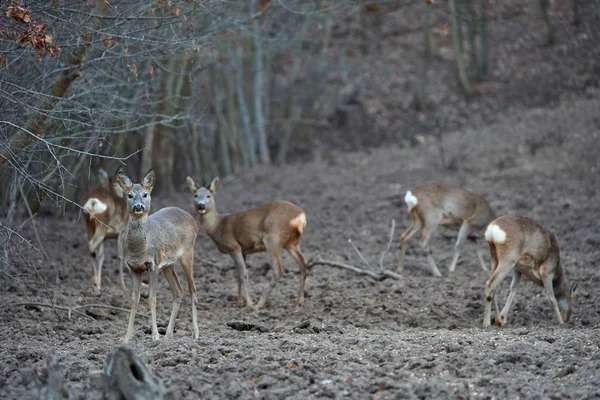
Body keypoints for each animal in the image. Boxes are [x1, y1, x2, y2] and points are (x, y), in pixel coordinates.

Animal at [116, 169, 199, 344]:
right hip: (167, 264)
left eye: (145, 194)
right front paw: (126, 338)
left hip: (188, 253)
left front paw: (155, 335)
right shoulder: (133, 268)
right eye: (129, 195)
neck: (139, 250)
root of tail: (194, 220)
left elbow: (152, 299)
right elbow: (134, 300)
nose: (138, 206)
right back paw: (168, 334)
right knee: (178, 291)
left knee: (192, 288)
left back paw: (195, 333)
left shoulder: (152, 265)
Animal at [186, 176, 310, 310]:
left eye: (208, 195)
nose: (201, 205)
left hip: (273, 238)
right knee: (303, 263)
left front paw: (249, 303)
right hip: (291, 242)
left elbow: (243, 274)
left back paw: (259, 304)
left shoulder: (233, 246)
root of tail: (302, 217)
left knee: (279, 270)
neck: (217, 226)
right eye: (196, 195)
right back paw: (299, 301)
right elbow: (238, 275)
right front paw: (239, 302)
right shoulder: (243, 250)